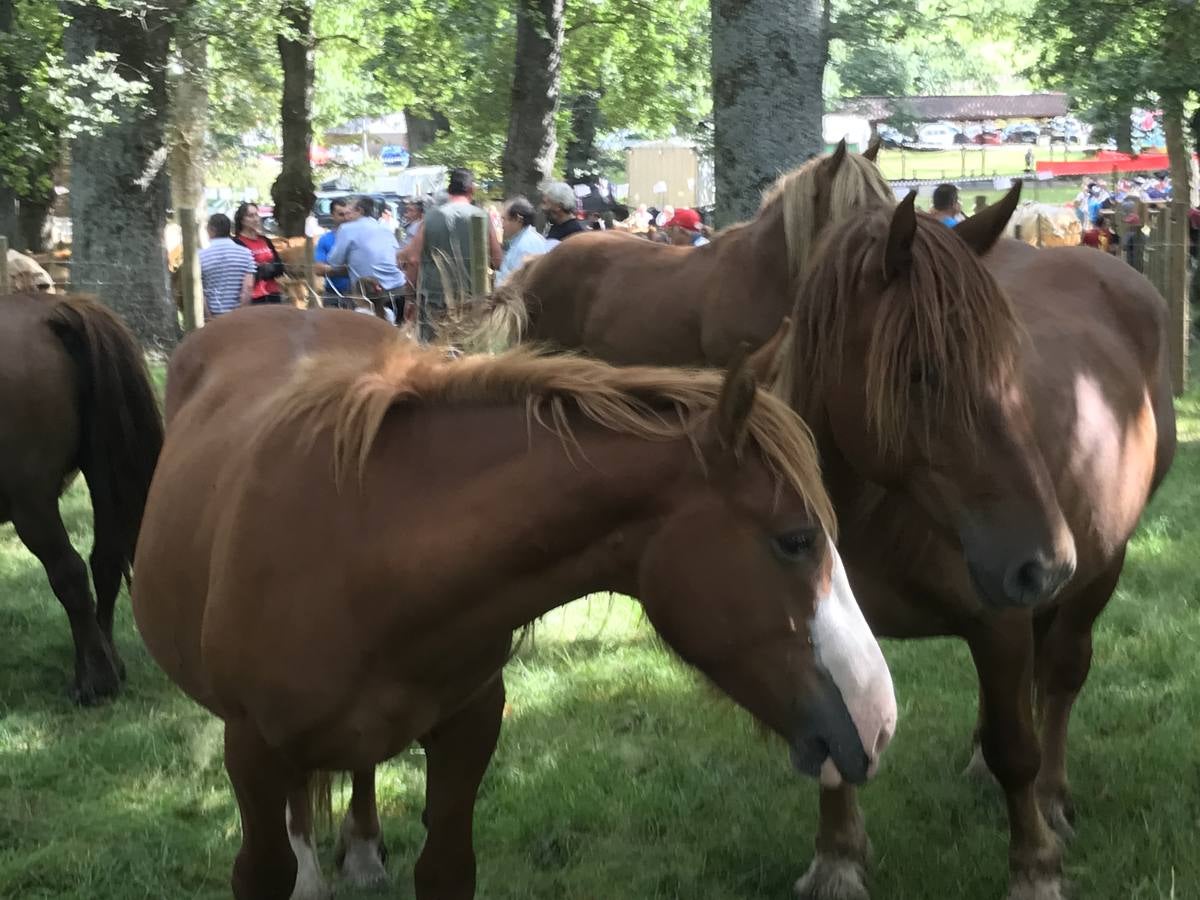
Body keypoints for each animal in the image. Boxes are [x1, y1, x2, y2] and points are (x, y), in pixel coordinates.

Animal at [0, 296, 164, 705]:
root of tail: (52, 311)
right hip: (101, 470)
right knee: (104, 562)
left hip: (31, 502)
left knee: (69, 572)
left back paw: (97, 681)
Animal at [133, 309, 902, 900]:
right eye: (796, 540)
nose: (880, 720)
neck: (358, 553)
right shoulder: (252, 750)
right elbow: (263, 868)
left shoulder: (470, 729)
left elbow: (445, 869)